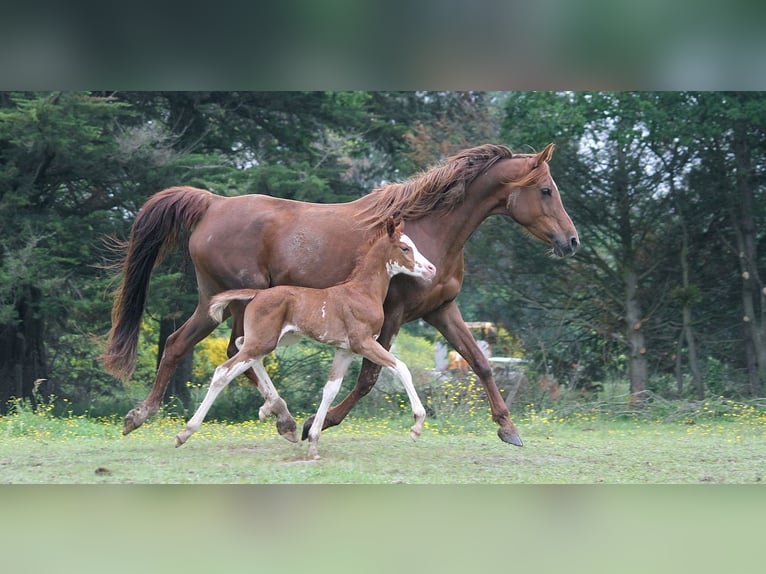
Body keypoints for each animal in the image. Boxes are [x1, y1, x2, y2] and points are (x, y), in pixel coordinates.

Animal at [176, 218, 438, 462]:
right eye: (405, 248)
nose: (431, 269)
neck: (362, 292)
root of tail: (258, 294)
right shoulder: (363, 342)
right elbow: (401, 368)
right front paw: (417, 426)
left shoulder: (345, 350)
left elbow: (330, 389)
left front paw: (312, 442)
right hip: (265, 340)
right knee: (224, 370)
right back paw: (185, 432)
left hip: (275, 338)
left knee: (241, 346)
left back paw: (271, 408)